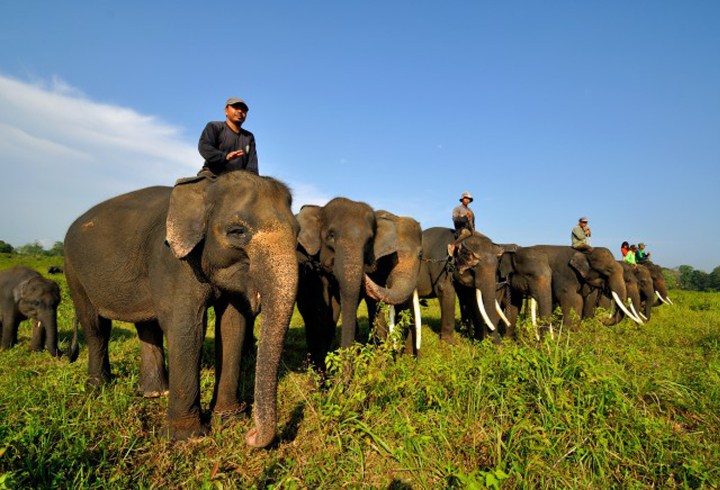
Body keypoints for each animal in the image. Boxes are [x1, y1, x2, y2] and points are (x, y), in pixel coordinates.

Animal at [62, 170, 298, 446]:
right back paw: (99, 389)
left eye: (297, 232)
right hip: (73, 271)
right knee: (96, 327)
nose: (250, 436)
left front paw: (229, 420)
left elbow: (232, 327)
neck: (206, 188)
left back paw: (154, 393)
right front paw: (188, 438)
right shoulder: (172, 260)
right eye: (237, 231)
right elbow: (186, 327)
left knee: (147, 326)